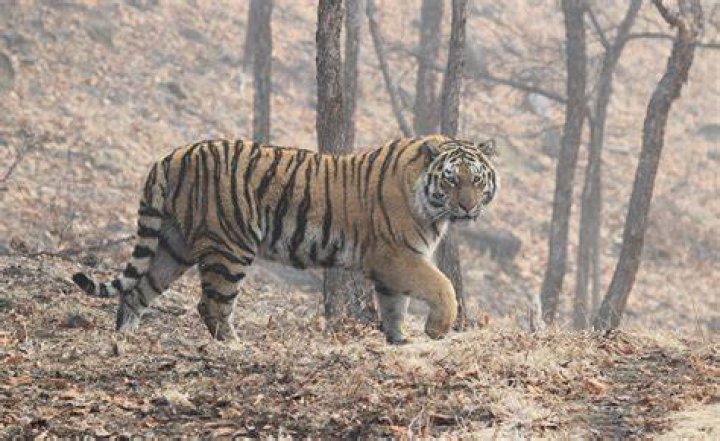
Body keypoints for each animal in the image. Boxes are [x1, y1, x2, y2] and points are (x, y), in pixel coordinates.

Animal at [72, 134, 498, 344]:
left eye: (477, 180)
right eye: (451, 179)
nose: (467, 207)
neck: (430, 203)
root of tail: (170, 157)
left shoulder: (392, 266)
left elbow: (394, 306)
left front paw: (400, 341)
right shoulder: (395, 255)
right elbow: (442, 286)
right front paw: (437, 330)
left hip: (173, 246)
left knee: (136, 292)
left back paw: (124, 342)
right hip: (229, 247)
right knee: (211, 305)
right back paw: (237, 348)